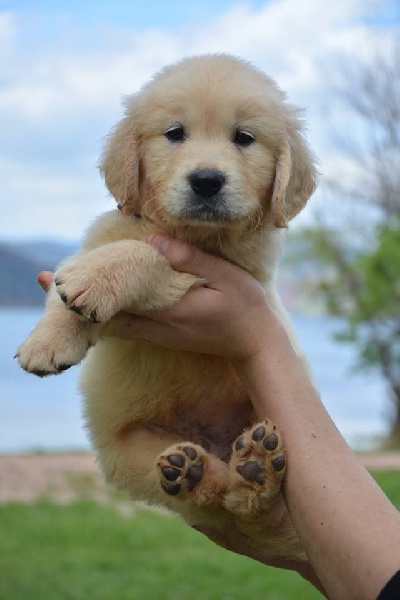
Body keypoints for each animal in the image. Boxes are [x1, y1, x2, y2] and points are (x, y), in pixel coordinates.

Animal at [14, 55, 316, 564]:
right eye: (175, 133)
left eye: (244, 138)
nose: (207, 181)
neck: (188, 233)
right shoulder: (99, 240)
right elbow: (65, 289)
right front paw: (47, 341)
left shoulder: (224, 273)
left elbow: (150, 257)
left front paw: (99, 280)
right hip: (130, 454)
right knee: (210, 497)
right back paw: (197, 471)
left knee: (245, 509)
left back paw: (253, 471)